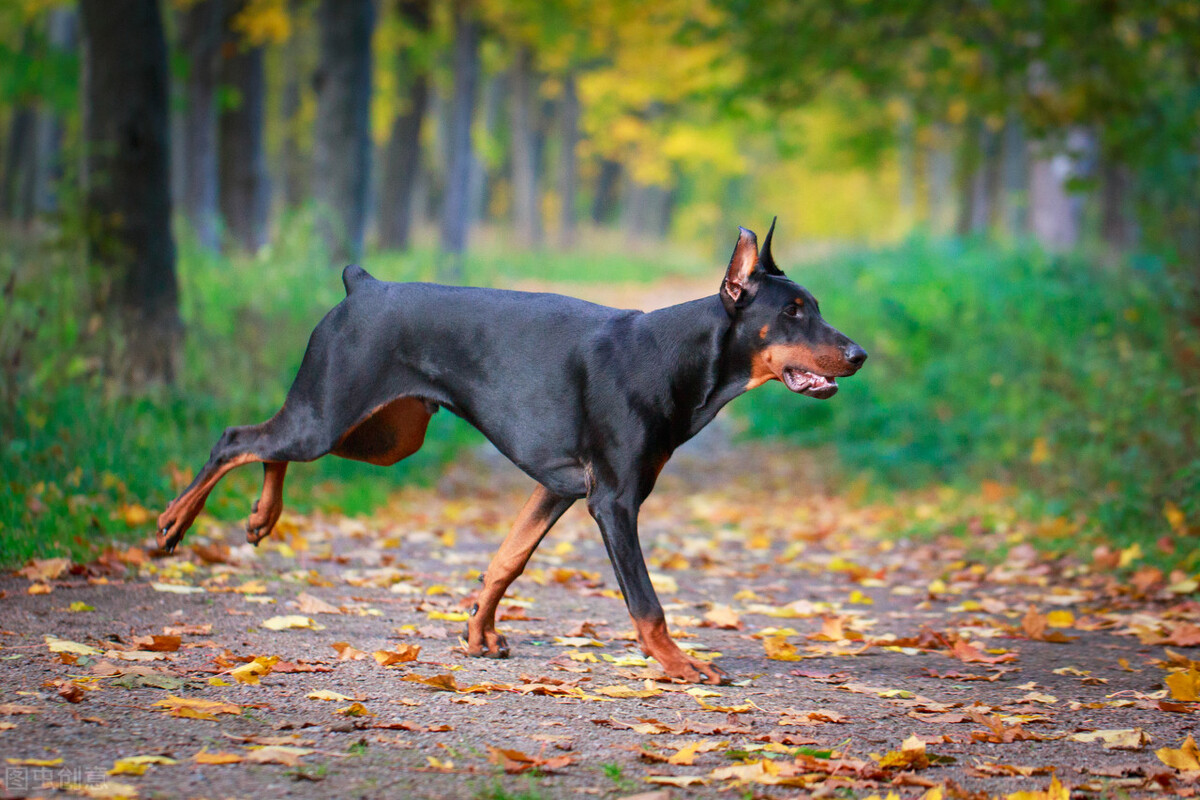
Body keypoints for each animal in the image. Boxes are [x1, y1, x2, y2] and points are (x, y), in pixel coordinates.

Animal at [157, 221, 864, 686]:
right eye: (793, 312)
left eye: (816, 306)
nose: (859, 354)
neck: (675, 357)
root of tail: (363, 286)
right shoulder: (614, 500)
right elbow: (647, 604)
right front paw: (680, 662)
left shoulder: (559, 486)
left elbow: (508, 559)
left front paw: (477, 633)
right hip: (329, 414)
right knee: (238, 439)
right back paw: (173, 523)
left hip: (383, 437)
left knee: (269, 446)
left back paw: (262, 515)